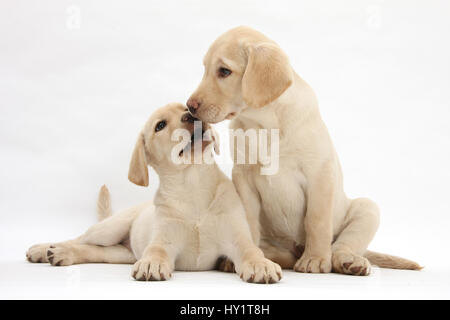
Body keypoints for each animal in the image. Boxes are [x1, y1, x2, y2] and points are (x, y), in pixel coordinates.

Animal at [25, 102, 282, 282]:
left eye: (185, 109)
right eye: (160, 125)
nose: (192, 116)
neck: (193, 181)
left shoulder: (238, 239)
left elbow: (252, 251)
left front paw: (261, 264)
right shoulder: (163, 240)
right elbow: (156, 251)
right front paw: (152, 264)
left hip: (120, 254)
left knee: (93, 251)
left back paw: (61, 254)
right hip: (110, 228)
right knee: (80, 238)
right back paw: (48, 249)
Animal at [185, 26, 418, 276]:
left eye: (224, 71)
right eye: (205, 69)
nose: (189, 106)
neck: (264, 124)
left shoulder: (320, 173)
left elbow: (316, 220)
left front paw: (315, 258)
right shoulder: (243, 177)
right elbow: (248, 223)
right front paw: (250, 260)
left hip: (366, 208)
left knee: (342, 246)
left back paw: (348, 261)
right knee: (283, 254)